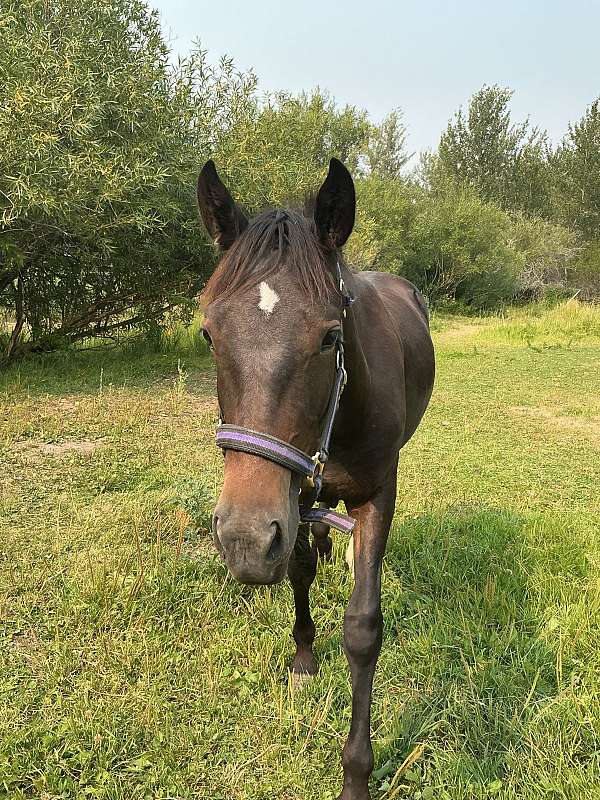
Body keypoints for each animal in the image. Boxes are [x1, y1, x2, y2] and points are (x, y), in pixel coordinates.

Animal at [196, 157, 435, 800]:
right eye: (209, 333)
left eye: (330, 336)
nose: (244, 539)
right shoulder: (294, 492)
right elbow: (299, 567)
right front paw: (304, 658)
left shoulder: (376, 495)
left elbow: (362, 628)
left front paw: (356, 774)